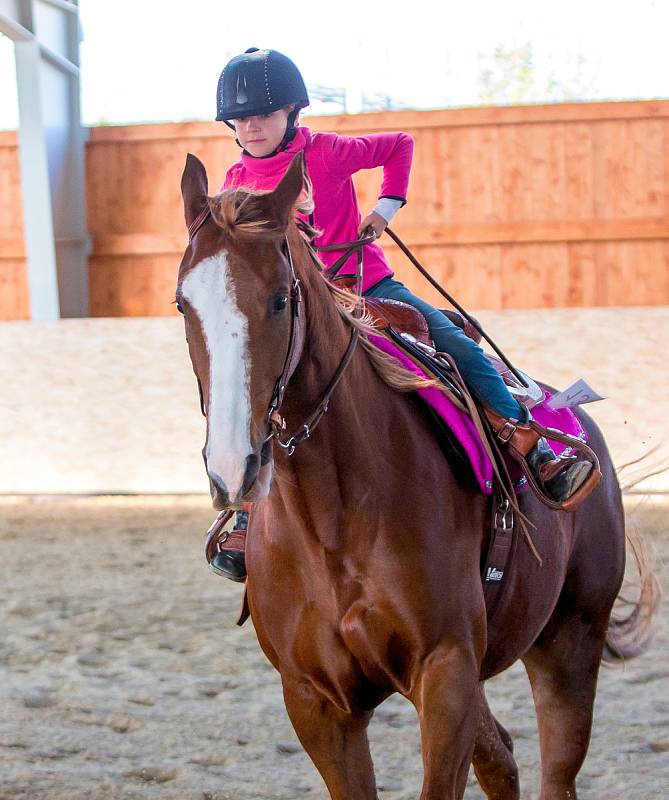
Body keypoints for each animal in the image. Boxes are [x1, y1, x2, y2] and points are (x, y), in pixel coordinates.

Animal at [177, 152, 656, 800]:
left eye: (279, 300)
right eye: (183, 304)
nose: (234, 468)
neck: (334, 520)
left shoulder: (446, 672)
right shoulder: (316, 702)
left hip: (570, 642)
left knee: (556, 769)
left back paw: (555, 464)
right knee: (501, 758)